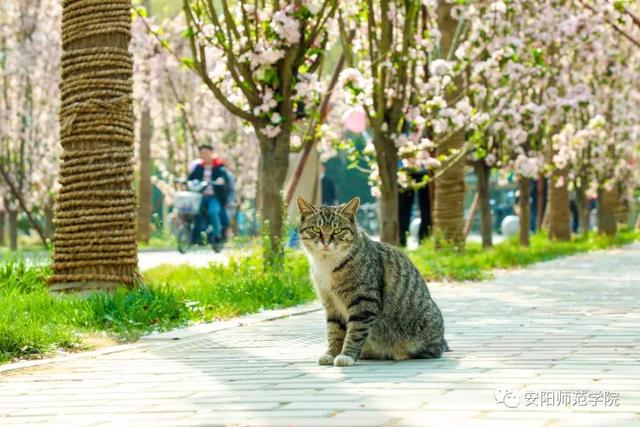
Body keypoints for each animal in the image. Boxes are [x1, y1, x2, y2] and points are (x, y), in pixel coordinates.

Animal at [298, 197, 448, 368]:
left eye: (338, 230)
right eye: (316, 229)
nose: (326, 242)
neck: (327, 262)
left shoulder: (363, 302)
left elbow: (355, 333)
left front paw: (347, 355)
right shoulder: (331, 304)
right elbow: (334, 331)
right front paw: (331, 353)